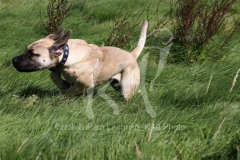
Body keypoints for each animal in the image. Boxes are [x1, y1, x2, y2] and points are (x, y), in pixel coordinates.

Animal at [13, 20, 149, 100]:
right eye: (26, 49)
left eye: (33, 54)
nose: (13, 60)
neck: (68, 55)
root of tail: (131, 55)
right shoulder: (57, 67)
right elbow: (54, 75)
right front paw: (63, 84)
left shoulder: (85, 83)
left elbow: (71, 90)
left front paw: (62, 93)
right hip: (118, 84)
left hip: (127, 86)